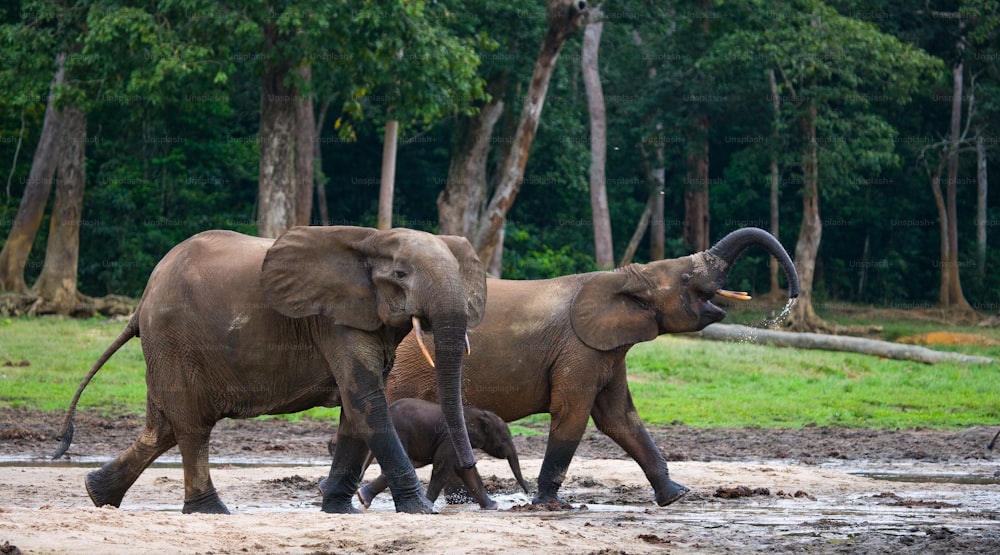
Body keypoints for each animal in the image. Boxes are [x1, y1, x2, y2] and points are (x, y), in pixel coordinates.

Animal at [53, 227, 488, 516]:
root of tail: (143, 298)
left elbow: (356, 409)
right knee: (191, 427)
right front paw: (421, 511)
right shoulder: (333, 320)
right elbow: (367, 401)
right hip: (174, 339)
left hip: (167, 346)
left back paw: (97, 495)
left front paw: (338, 511)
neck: (371, 241)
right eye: (400, 275)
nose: (470, 465)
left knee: (162, 428)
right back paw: (210, 511)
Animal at [358, 398, 532, 510]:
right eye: (504, 439)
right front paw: (428, 505)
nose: (529, 495)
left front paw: (493, 507)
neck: (479, 414)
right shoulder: (451, 440)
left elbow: (466, 470)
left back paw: (363, 498)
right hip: (400, 432)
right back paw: (363, 498)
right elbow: (442, 468)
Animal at [382, 226, 796, 508]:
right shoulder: (578, 349)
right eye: (686, 278)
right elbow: (573, 415)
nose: (791, 298)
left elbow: (621, 419)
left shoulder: (606, 352)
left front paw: (676, 497)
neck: (622, 276)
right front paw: (550, 505)